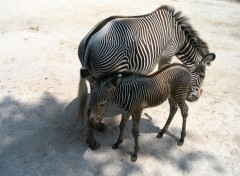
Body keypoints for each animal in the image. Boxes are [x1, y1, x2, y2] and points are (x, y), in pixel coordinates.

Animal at [77, 4, 216, 122]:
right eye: (202, 76)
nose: (196, 98)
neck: (179, 37)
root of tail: (91, 40)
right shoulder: (167, 55)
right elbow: (165, 72)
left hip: (93, 75)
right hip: (111, 70)